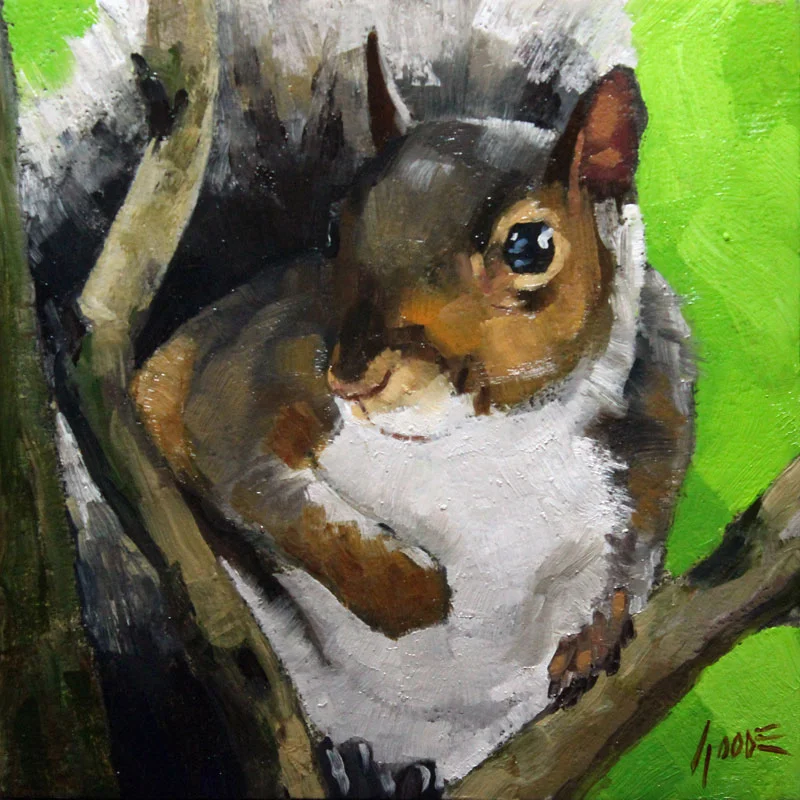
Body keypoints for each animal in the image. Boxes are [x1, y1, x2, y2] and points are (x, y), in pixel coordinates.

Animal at [129, 28, 695, 789]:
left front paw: (597, 635)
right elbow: (271, 493)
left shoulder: (658, 410)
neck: (483, 445)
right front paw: (419, 592)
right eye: (335, 231)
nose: (352, 378)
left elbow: (637, 548)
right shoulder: (238, 379)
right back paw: (348, 763)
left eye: (530, 246)